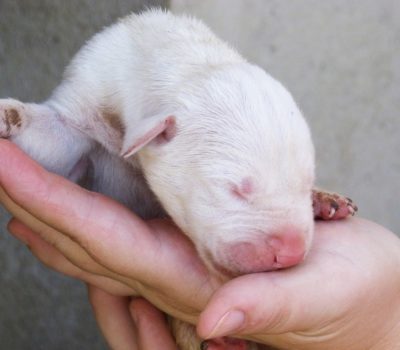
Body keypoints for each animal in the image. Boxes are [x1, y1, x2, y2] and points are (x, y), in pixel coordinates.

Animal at [0, 8, 356, 350]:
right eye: (236, 190)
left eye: (304, 183)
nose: (292, 254)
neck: (191, 61)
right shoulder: (84, 100)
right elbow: (53, 138)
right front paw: (7, 116)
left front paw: (318, 197)